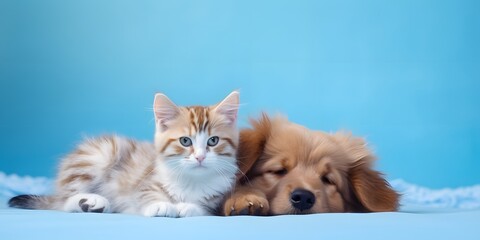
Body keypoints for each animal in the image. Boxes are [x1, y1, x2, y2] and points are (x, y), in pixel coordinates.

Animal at [7, 90, 240, 218]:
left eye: (213, 141)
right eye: (185, 141)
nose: (200, 157)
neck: (192, 180)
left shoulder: (215, 201)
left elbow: (202, 208)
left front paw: (188, 207)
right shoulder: (145, 183)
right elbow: (147, 195)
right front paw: (161, 205)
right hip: (101, 153)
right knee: (61, 201)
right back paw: (89, 200)